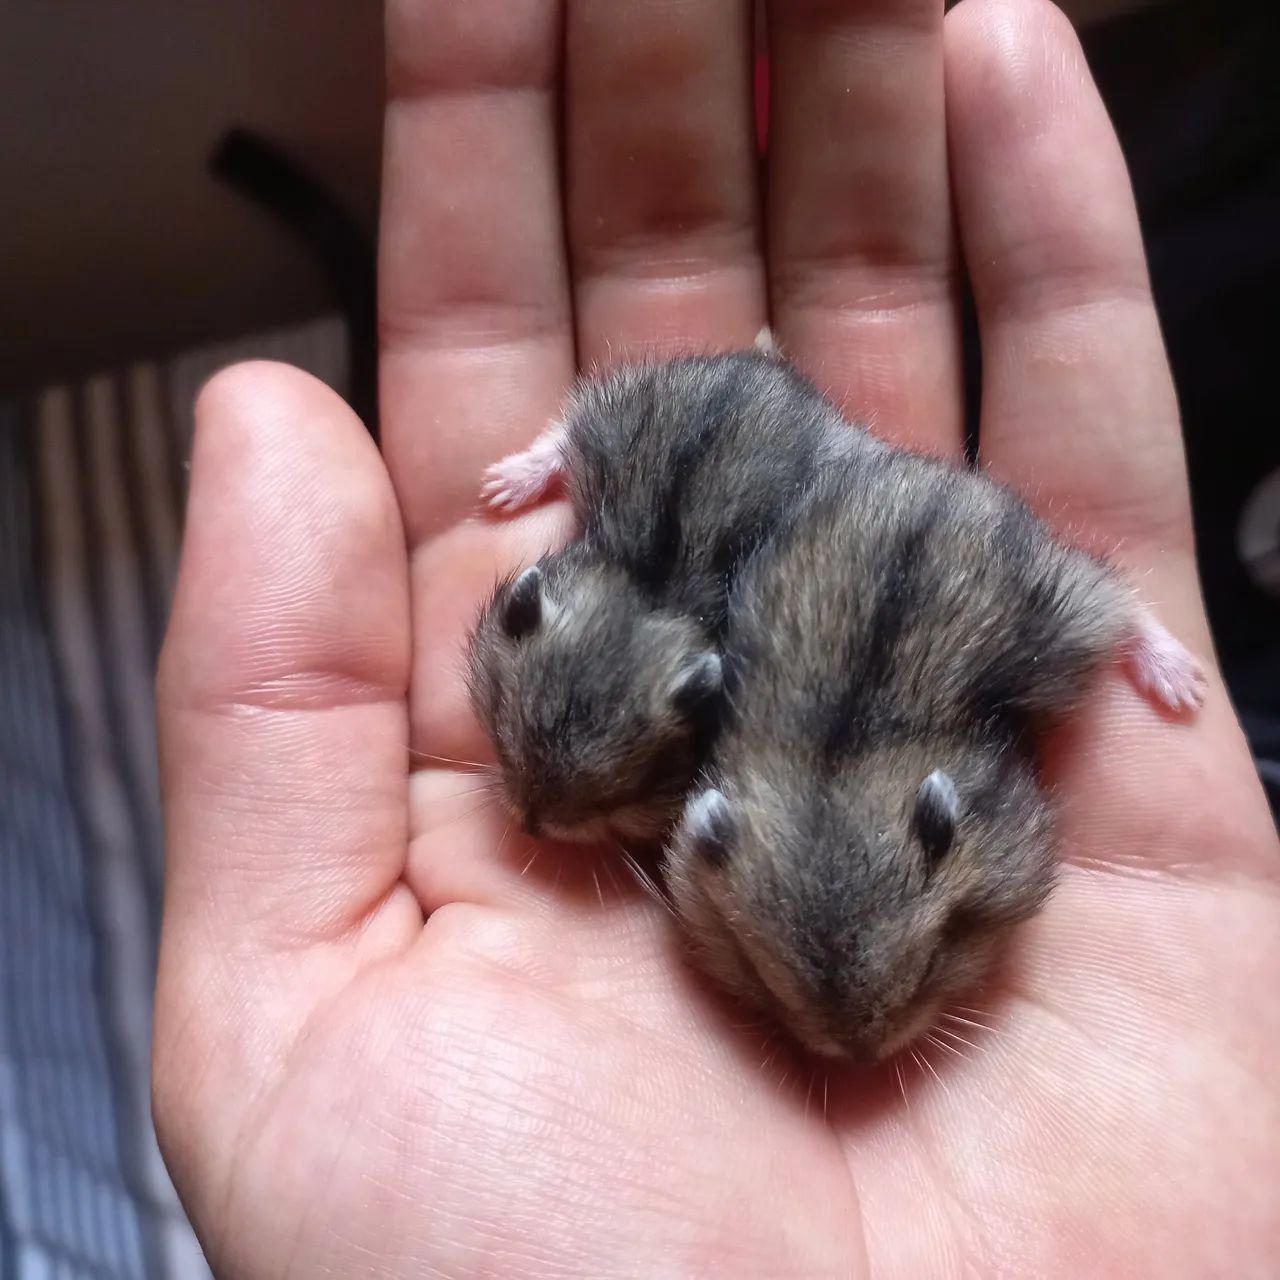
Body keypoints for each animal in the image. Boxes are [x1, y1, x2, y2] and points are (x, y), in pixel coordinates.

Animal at [467, 343, 855, 841]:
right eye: (501, 737)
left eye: (617, 795)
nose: (531, 829)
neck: (649, 593)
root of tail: (779, 372)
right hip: (622, 402)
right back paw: (502, 487)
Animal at [665, 442, 1206, 1062]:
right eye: (763, 977)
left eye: (928, 965)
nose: (862, 1059)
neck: (834, 778)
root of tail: (947, 480)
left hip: (1061, 612)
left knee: (1117, 598)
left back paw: (1182, 686)